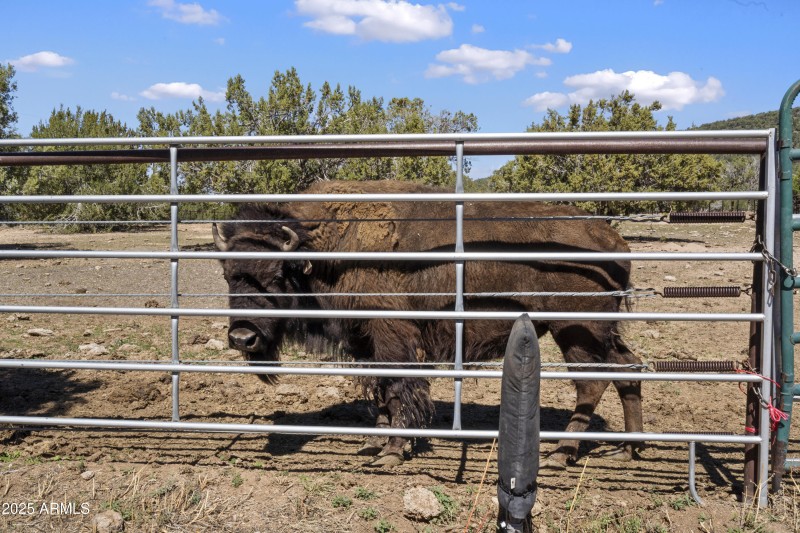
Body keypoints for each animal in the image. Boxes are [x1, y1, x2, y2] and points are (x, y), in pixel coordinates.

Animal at [213, 180, 643, 466]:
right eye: (228, 274)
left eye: (276, 275)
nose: (242, 337)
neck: (323, 247)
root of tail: (614, 241)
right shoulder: (363, 340)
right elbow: (378, 389)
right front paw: (373, 444)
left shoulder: (392, 336)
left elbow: (398, 387)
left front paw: (392, 451)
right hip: (601, 333)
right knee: (628, 369)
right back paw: (631, 447)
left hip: (574, 331)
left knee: (591, 383)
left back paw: (561, 453)